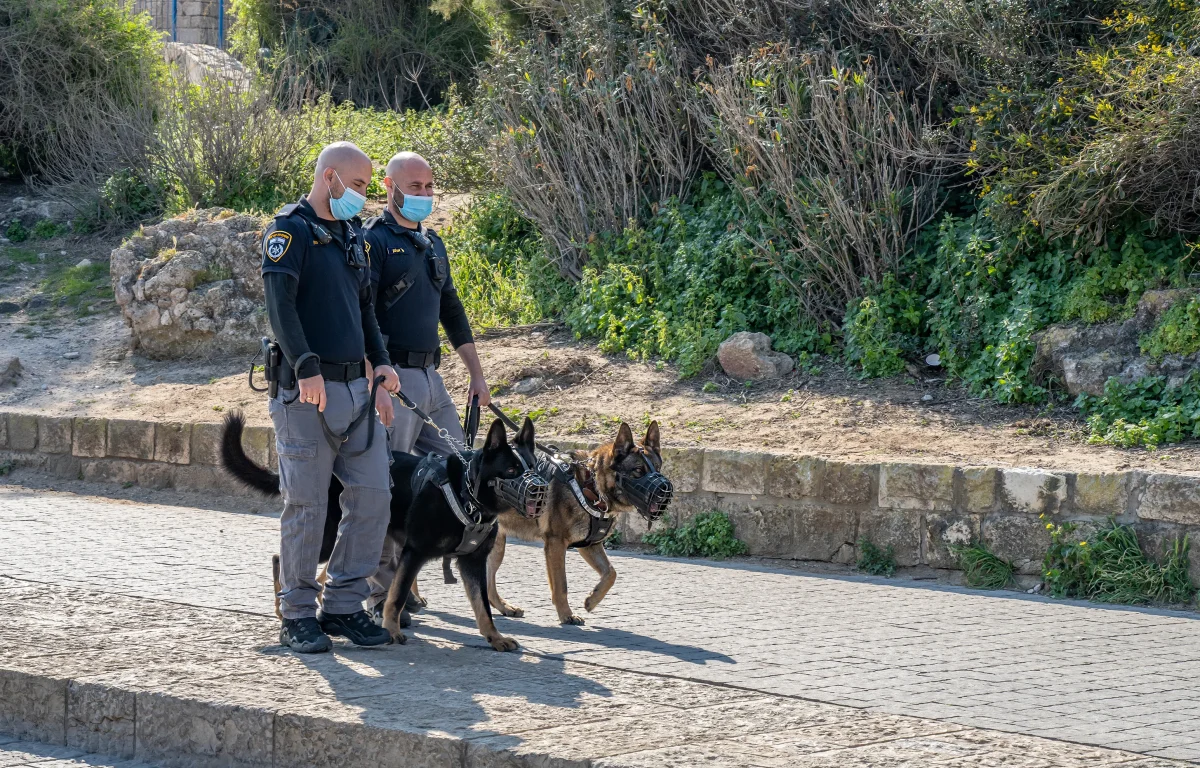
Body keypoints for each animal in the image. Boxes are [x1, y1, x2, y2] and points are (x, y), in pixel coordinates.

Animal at [223, 410, 542, 652]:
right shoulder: (414, 553)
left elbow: (482, 606)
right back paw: (284, 609)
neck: (466, 492)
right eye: (512, 470)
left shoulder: (471, 563)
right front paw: (391, 629)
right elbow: (397, 596)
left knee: (323, 573)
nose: (538, 489)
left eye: (535, 466)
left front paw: (494, 637)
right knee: (283, 557)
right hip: (328, 535)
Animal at [484, 420, 667, 624]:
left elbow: (611, 573)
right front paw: (566, 614)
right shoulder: (555, 545)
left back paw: (505, 608)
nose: (663, 491)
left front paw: (592, 599)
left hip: (496, 549)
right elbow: (561, 585)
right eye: (638, 471)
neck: (591, 486)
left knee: (489, 585)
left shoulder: (590, 545)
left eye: (657, 468)